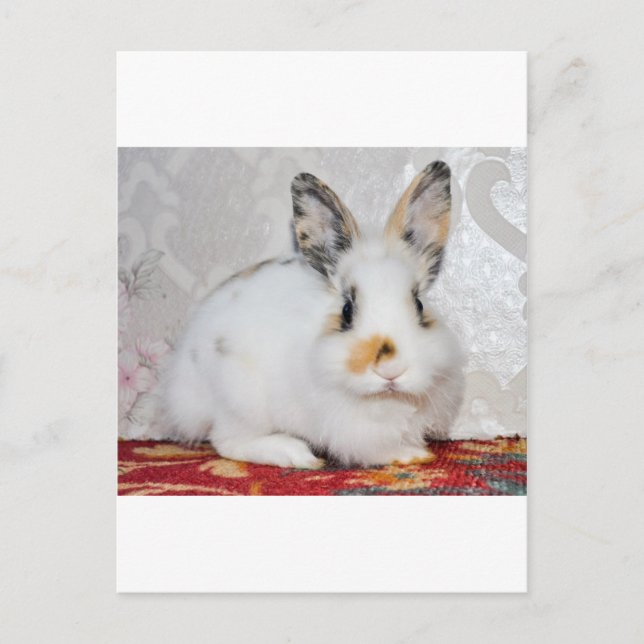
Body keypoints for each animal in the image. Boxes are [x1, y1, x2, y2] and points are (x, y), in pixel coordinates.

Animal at [155, 161, 465, 468]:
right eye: (347, 311)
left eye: (419, 305)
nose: (391, 370)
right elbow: (374, 449)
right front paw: (409, 455)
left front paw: (414, 452)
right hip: (240, 399)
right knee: (227, 442)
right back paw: (295, 454)